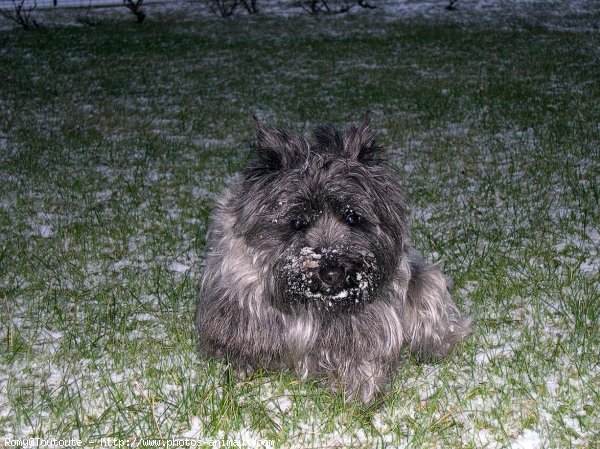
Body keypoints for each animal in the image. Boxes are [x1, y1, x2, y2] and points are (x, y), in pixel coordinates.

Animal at [195, 115, 472, 402]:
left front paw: (360, 390)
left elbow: (362, 354)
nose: (332, 274)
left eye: (352, 217)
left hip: (426, 281)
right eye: (297, 222)